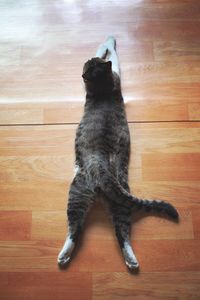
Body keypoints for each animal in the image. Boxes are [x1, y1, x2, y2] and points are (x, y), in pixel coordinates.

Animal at [57, 36, 178, 270]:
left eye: (89, 63)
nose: (88, 62)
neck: (102, 87)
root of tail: (102, 169)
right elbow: (109, 54)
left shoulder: (115, 73)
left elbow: (108, 52)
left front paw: (108, 41)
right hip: (100, 197)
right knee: (114, 230)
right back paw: (130, 260)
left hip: (79, 192)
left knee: (82, 229)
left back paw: (64, 255)